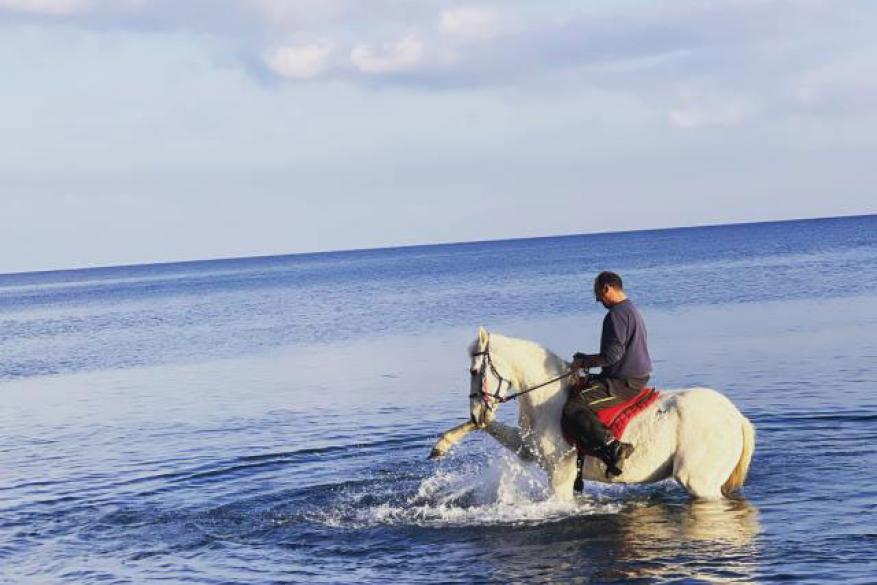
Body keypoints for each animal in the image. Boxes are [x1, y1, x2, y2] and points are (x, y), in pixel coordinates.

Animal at [429, 327, 755, 501]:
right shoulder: (526, 449)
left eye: (474, 371)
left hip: (698, 482)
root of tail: (736, 418)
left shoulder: (560, 478)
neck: (547, 401)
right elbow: (492, 427)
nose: (476, 412)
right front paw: (442, 444)